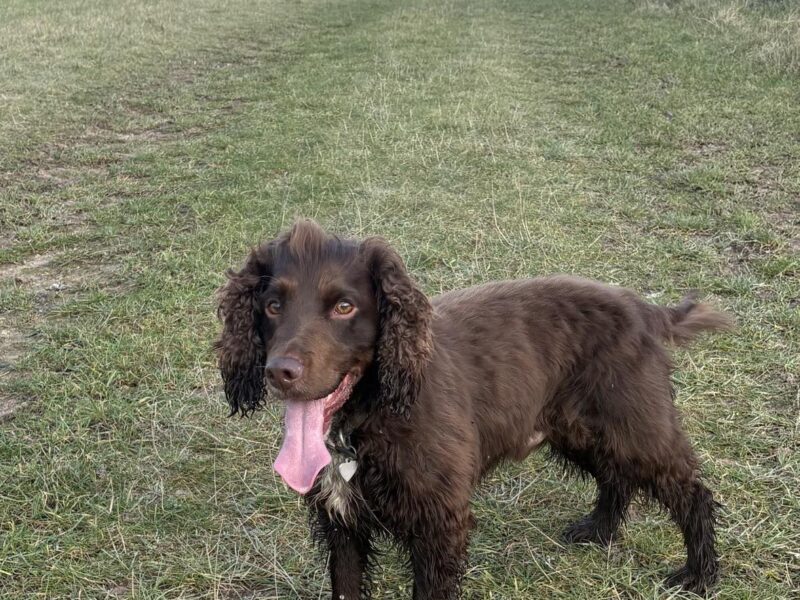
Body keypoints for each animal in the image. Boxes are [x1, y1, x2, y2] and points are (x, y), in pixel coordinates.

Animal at [216, 221, 736, 600]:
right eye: (272, 305)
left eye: (344, 306)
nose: (280, 372)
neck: (371, 417)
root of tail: (644, 309)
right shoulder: (341, 522)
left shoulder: (439, 527)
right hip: (578, 430)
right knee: (617, 476)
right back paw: (600, 530)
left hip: (636, 427)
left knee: (692, 493)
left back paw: (700, 574)